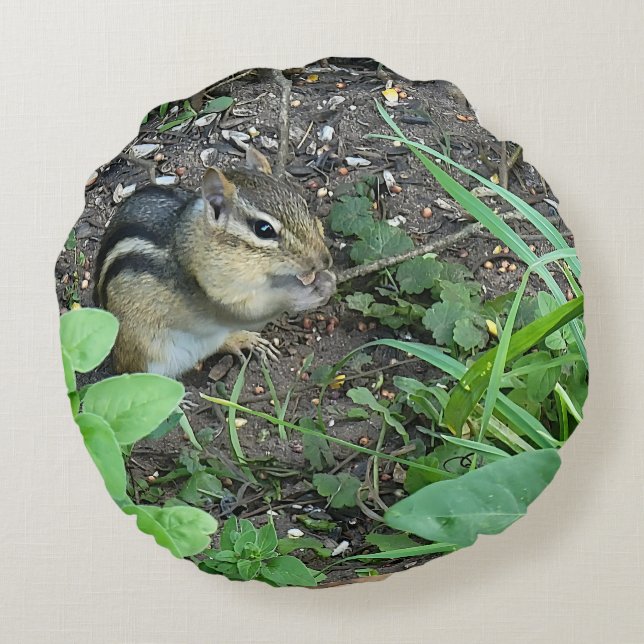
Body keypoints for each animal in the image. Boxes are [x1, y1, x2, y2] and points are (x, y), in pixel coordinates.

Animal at [93, 146, 336, 378]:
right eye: (264, 229)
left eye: (303, 204)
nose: (325, 260)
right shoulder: (217, 295)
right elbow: (255, 310)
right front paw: (304, 292)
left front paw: (325, 280)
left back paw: (244, 340)